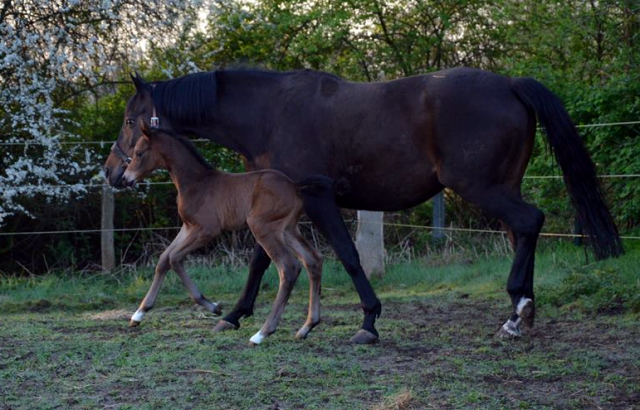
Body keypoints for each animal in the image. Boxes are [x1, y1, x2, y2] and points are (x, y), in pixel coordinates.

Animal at [122, 123, 322, 344]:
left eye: (139, 153)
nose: (125, 179)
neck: (196, 182)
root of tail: (295, 186)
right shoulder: (188, 227)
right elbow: (164, 259)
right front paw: (138, 314)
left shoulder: (207, 230)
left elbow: (174, 258)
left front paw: (212, 306)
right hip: (288, 229)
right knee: (312, 260)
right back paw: (307, 326)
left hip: (264, 228)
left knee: (288, 268)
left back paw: (262, 333)